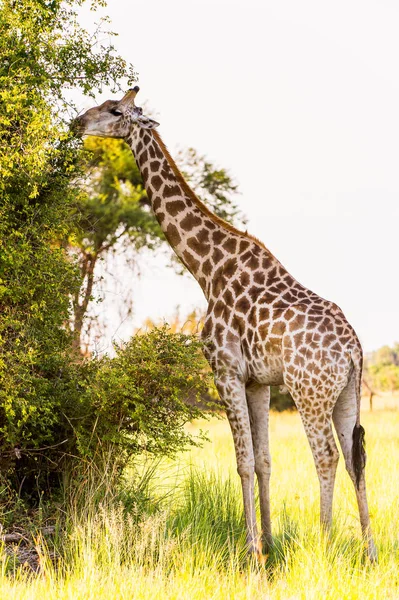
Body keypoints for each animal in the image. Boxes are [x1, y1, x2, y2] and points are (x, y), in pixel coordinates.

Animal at [76, 86, 380, 560]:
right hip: (347, 391)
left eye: (113, 110)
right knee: (354, 456)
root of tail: (353, 349)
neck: (208, 269)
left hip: (309, 391)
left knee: (327, 455)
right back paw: (368, 553)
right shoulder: (257, 381)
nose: (78, 123)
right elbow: (265, 461)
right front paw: (269, 546)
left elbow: (242, 462)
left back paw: (326, 546)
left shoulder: (225, 370)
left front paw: (251, 550)